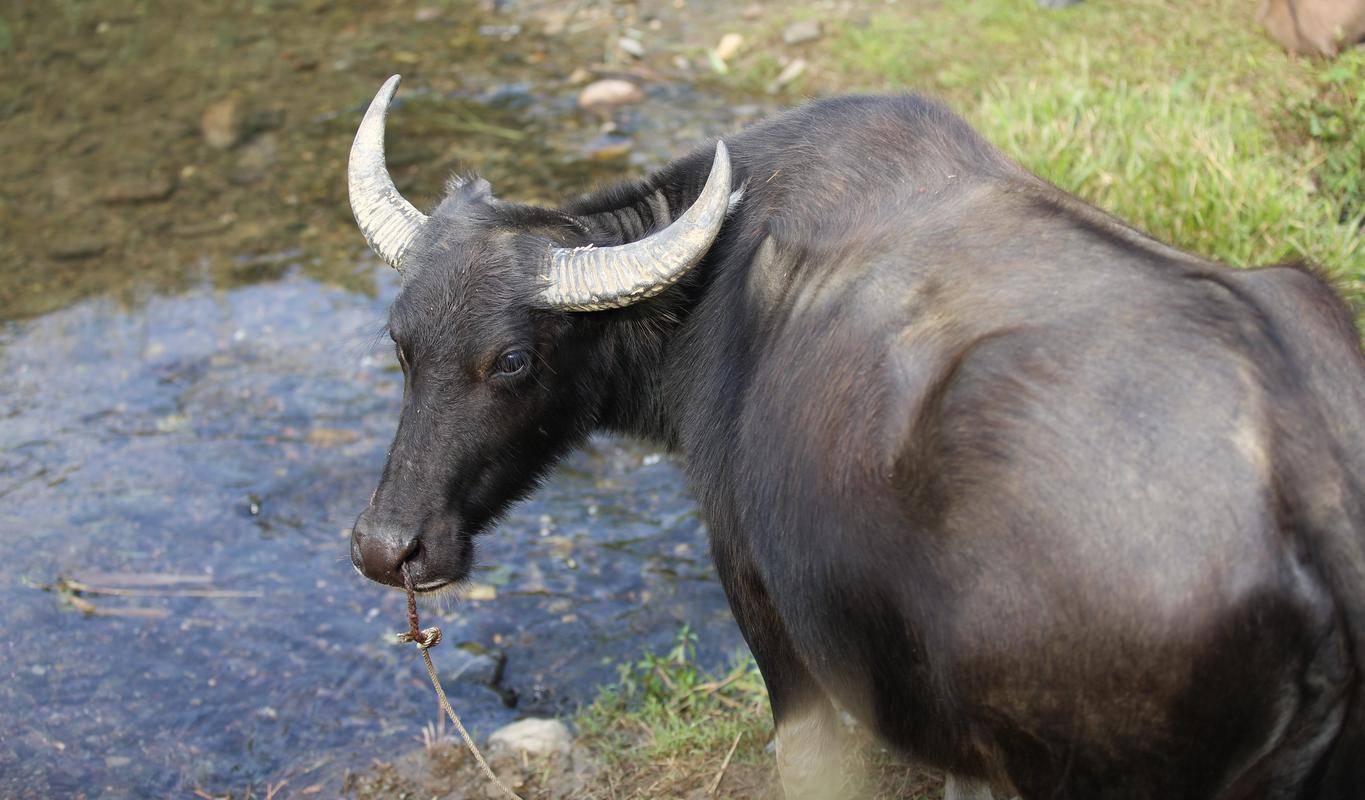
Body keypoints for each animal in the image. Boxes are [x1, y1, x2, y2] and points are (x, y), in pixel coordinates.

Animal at [343, 76, 1365, 797]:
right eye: (400, 341)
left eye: (511, 361)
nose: (389, 546)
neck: (711, 292)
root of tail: (1309, 481)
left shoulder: (766, 608)